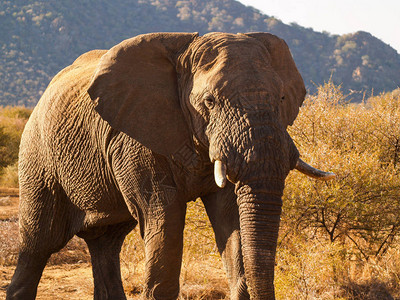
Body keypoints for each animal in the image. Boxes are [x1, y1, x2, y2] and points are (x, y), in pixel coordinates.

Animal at [6, 31, 334, 298]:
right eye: (210, 101)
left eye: (282, 98)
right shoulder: (135, 138)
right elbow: (164, 217)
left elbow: (230, 217)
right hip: (38, 157)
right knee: (39, 242)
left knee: (106, 244)